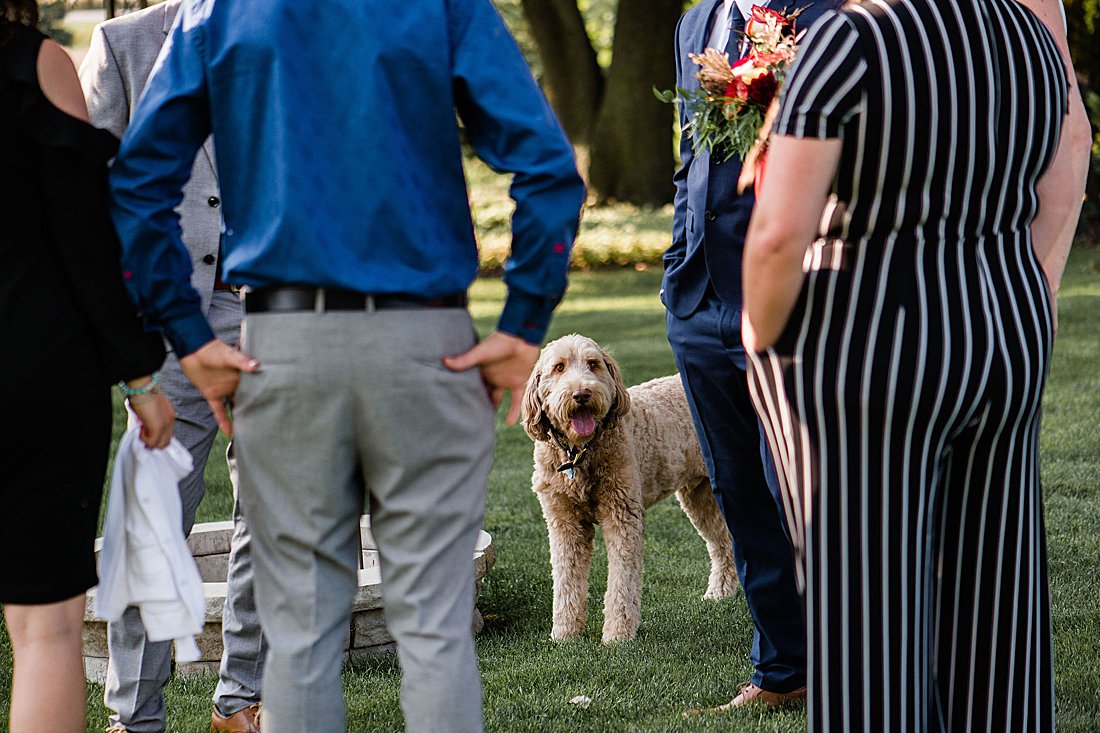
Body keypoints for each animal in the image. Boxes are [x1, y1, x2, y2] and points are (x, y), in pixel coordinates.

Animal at [519, 330, 734, 638]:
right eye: (559, 367)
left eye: (593, 364)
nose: (581, 394)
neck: (580, 451)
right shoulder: (564, 523)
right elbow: (566, 580)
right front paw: (565, 634)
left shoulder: (621, 515)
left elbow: (622, 580)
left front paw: (618, 634)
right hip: (699, 496)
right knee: (723, 542)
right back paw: (721, 592)